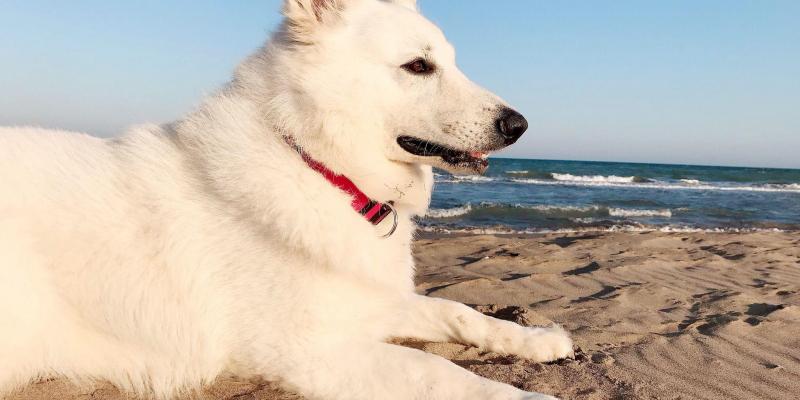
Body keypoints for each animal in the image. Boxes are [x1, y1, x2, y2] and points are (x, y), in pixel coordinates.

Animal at [1, 0, 576, 400]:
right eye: (418, 67)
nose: (519, 126)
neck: (320, 167)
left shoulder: (372, 299)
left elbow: (458, 311)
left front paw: (538, 339)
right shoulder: (312, 352)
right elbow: (438, 370)